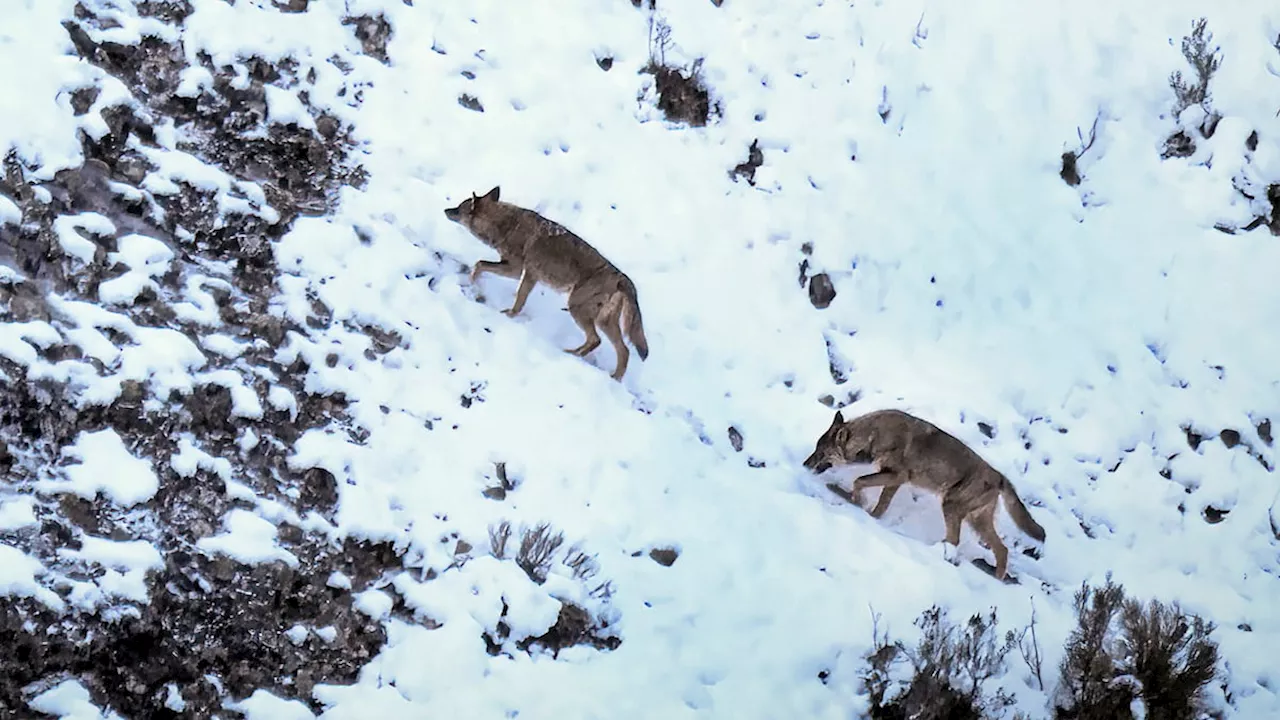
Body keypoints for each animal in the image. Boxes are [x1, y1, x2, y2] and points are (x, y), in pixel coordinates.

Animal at [448, 185, 650, 381]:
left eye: (458, 208)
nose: (445, 210)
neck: (507, 225)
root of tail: (622, 278)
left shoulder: (517, 270)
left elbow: (485, 268)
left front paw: (505, 311)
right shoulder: (527, 274)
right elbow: (494, 276)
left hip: (577, 308)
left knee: (597, 340)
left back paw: (576, 356)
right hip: (602, 321)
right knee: (622, 350)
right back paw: (612, 375)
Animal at [803, 407, 1044, 579]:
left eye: (820, 452)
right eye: (815, 449)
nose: (804, 464)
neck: (873, 435)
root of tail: (1000, 476)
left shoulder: (897, 476)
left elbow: (859, 481)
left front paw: (855, 500)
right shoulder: (894, 480)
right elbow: (879, 506)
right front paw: (867, 512)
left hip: (951, 507)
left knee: (956, 541)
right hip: (976, 521)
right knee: (1002, 550)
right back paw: (997, 578)